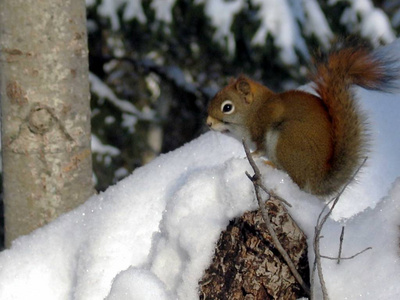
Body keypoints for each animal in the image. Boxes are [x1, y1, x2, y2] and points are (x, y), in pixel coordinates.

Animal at [208, 42, 398, 197]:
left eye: (227, 107)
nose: (208, 123)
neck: (255, 110)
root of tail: (316, 178)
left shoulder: (266, 121)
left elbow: (260, 149)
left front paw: (250, 156)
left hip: (287, 139)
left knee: (295, 180)